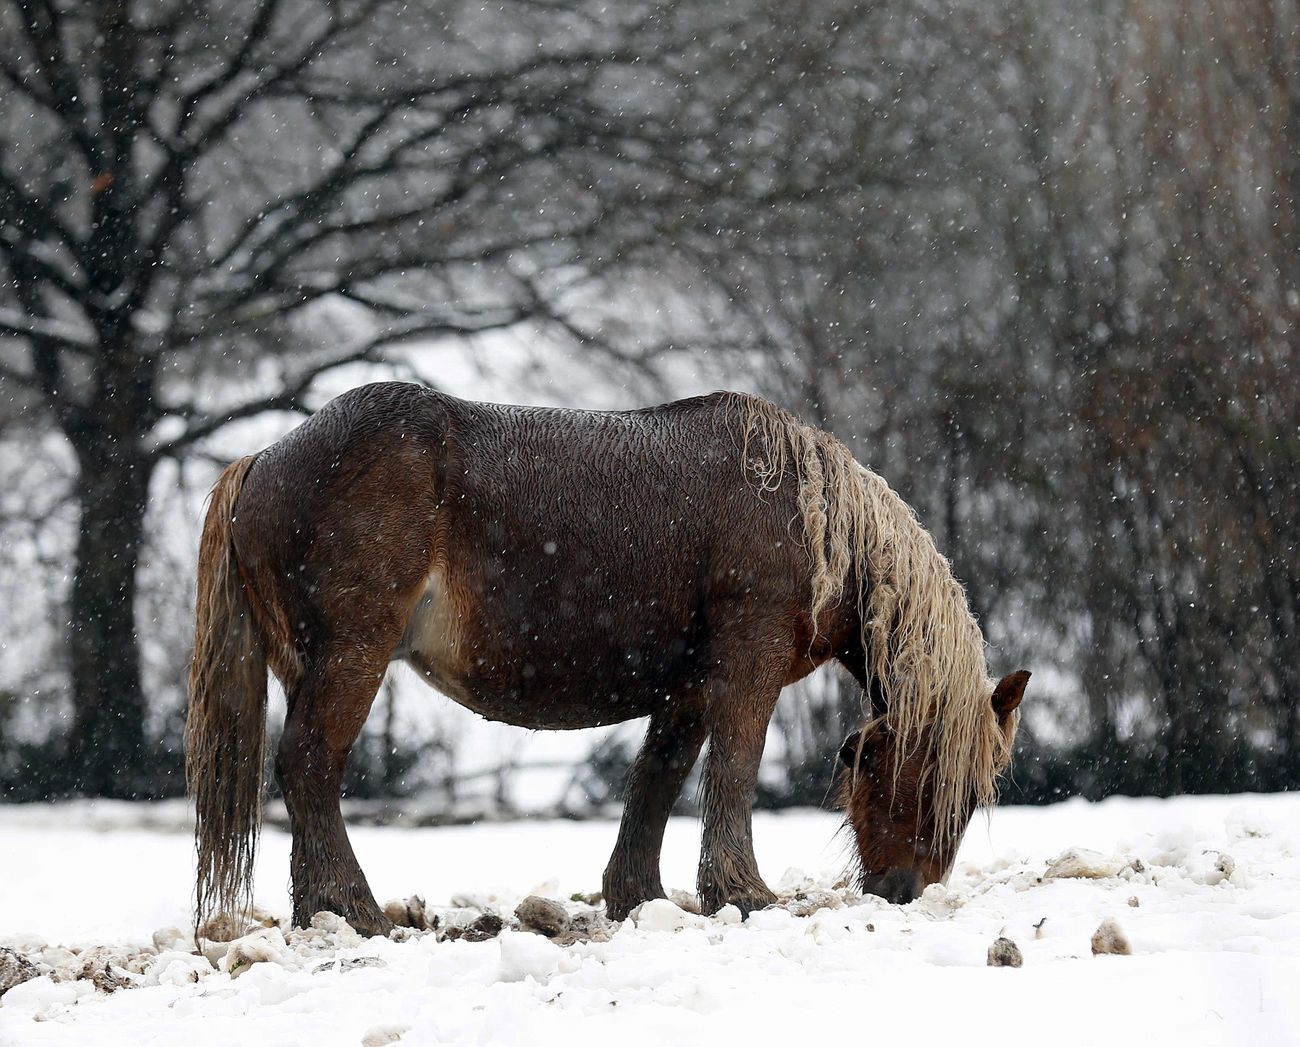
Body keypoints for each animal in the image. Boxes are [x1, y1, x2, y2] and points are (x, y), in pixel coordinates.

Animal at [188, 382, 1029, 931]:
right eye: (936, 775)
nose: (904, 887)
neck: (810, 519)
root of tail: (264, 459)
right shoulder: (745, 672)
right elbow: (733, 771)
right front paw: (743, 893)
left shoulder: (686, 688)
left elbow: (657, 781)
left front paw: (640, 897)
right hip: (351, 657)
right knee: (308, 762)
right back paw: (356, 907)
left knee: (306, 776)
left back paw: (317, 911)